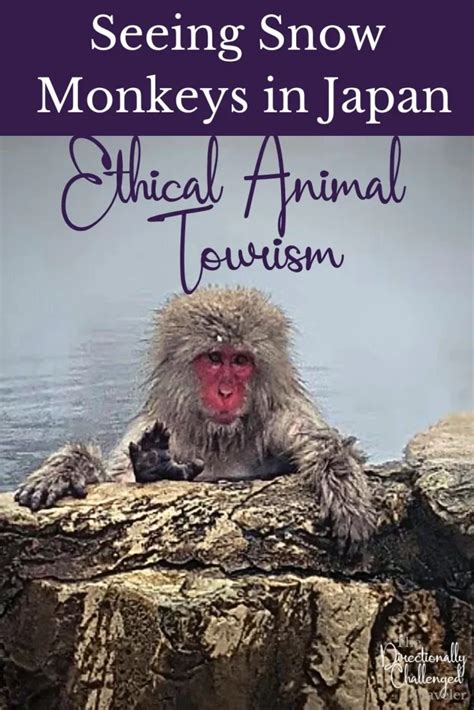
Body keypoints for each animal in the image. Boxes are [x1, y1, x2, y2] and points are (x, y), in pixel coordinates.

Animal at [14, 287, 376, 551]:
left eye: (240, 361)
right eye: (214, 358)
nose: (226, 392)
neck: (220, 438)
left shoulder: (280, 417)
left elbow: (323, 441)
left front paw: (342, 487)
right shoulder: (152, 426)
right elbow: (114, 478)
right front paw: (68, 468)